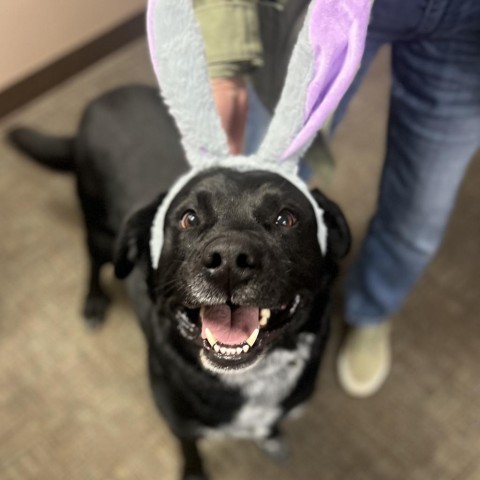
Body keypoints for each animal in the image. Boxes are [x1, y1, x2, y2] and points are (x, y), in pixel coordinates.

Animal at [9, 85, 350, 480]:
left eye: (286, 219)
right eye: (188, 218)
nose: (230, 259)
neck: (249, 380)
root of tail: (105, 98)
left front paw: (272, 437)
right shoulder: (178, 422)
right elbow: (191, 451)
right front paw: (195, 473)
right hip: (99, 232)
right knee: (93, 262)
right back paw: (93, 303)